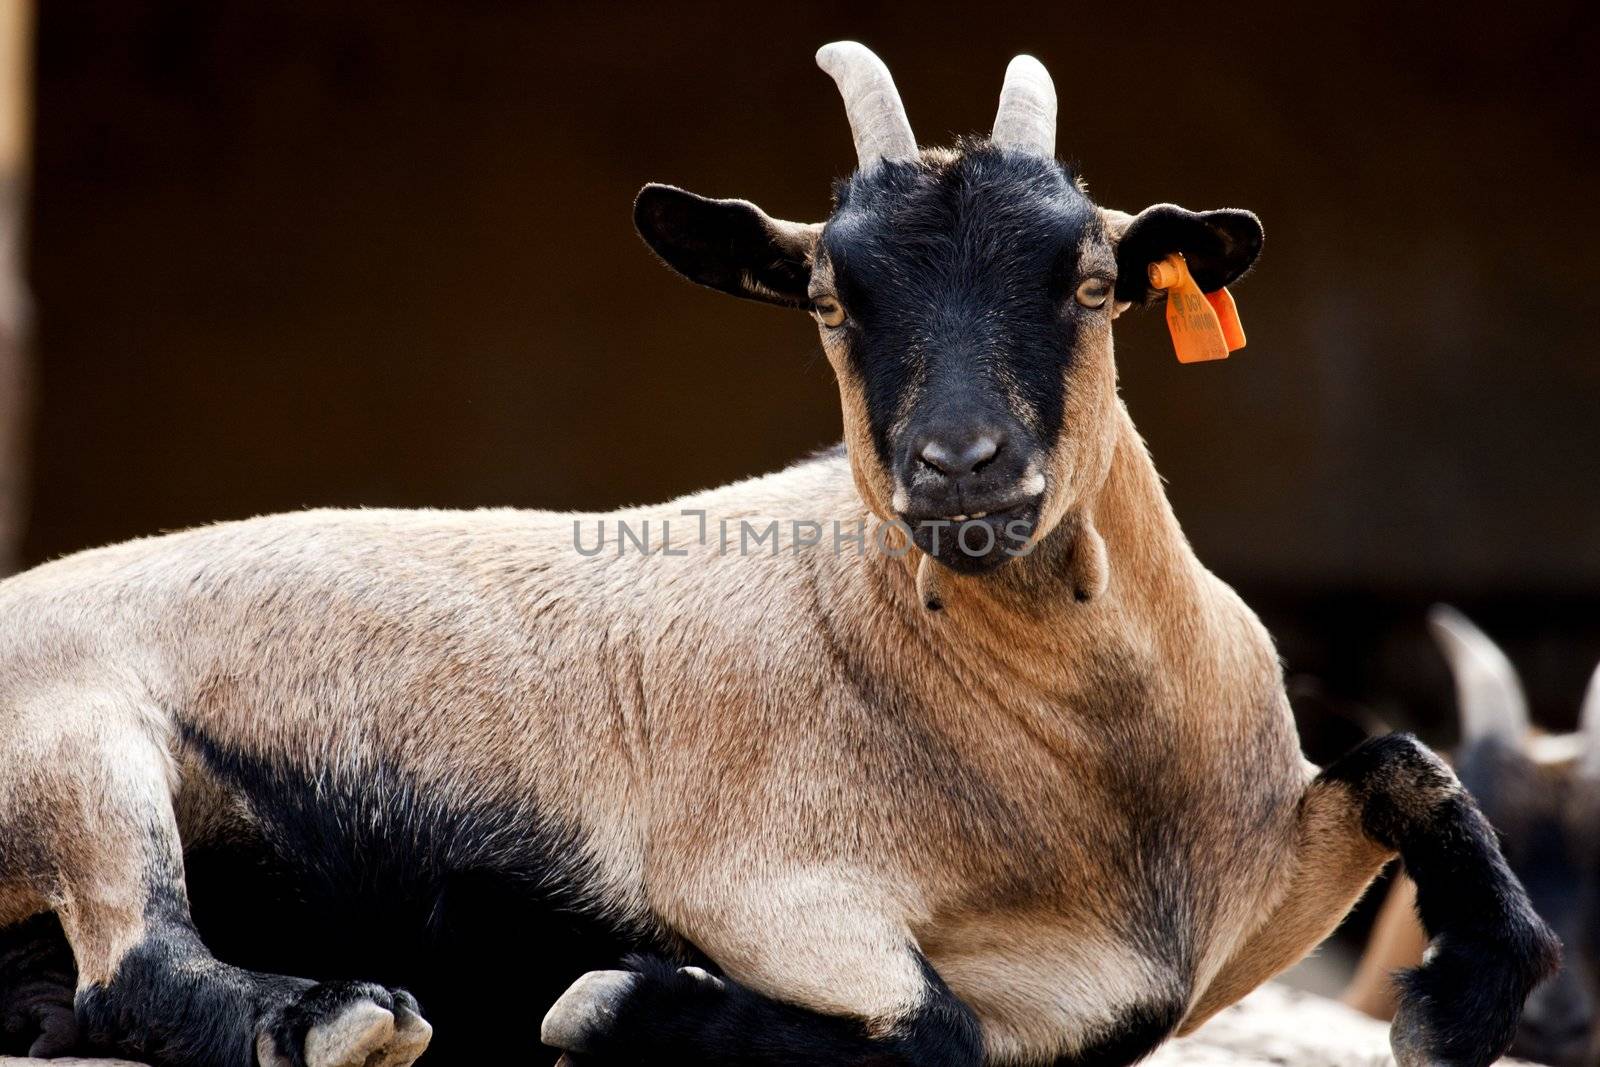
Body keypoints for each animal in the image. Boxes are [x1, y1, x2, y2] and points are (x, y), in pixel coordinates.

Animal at [0, 39, 1555, 1067]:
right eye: (827, 294)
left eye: (1093, 277)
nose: (961, 465)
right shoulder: (771, 882)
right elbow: (928, 1025)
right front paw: (624, 1000)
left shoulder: (1247, 908)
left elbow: (1400, 764)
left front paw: (1467, 997)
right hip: (79, 749)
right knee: (138, 961)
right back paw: (336, 1016)